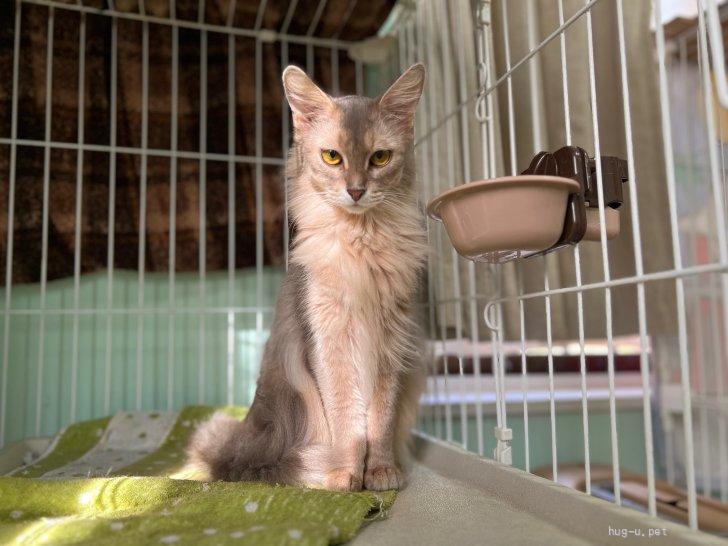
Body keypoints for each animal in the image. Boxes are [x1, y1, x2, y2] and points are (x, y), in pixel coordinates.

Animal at [187, 63, 427, 492]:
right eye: (332, 156)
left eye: (380, 157)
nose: (355, 191)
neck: (361, 243)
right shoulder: (327, 339)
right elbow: (349, 418)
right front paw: (346, 475)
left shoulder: (392, 341)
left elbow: (379, 420)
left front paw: (381, 472)